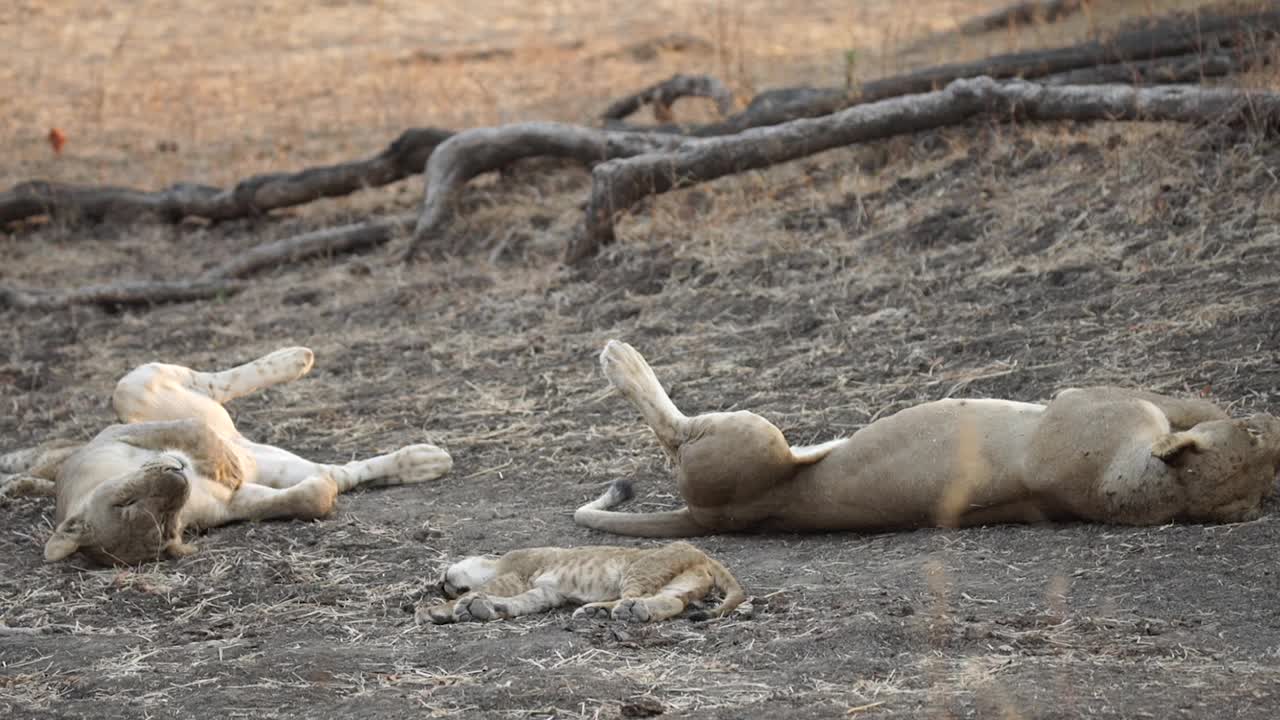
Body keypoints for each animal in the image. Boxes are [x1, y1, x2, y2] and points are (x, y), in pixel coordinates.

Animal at [0, 345, 453, 563]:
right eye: (165, 525)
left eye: (124, 501)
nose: (177, 475)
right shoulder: (233, 505)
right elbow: (311, 497)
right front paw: (317, 491)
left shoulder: (116, 435)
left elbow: (193, 432)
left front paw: (220, 463)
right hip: (274, 460)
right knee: (340, 470)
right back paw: (424, 461)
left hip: (134, 390)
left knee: (212, 385)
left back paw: (296, 357)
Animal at [419, 538, 747, 622]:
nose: (440, 586)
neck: (494, 562)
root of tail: (701, 554)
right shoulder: (545, 592)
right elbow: (521, 603)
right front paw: (487, 608)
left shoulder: (516, 572)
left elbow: (487, 590)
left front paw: (435, 611)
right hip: (678, 584)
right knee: (669, 603)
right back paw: (620, 612)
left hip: (639, 569)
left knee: (633, 595)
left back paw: (599, 610)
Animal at [576, 338, 1280, 535]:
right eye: (1253, 437)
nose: (1270, 424)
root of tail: (708, 520)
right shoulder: (1096, 404)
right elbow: (1192, 401)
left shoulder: (1086, 401)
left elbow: (1187, 400)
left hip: (754, 438)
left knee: (677, 434)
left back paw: (619, 357)